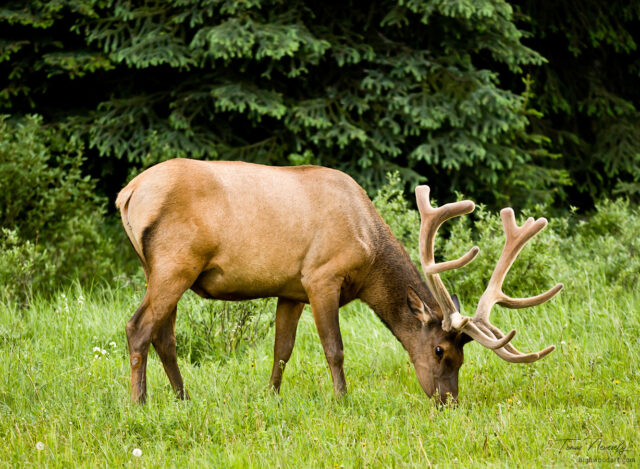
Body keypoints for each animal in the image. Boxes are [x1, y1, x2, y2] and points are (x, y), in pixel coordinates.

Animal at [116, 158, 563, 404]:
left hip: (161, 267)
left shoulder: (290, 289)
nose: (448, 401)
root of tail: (128, 192)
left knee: (164, 335)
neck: (368, 249)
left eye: (463, 358)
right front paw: (342, 399)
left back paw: (182, 397)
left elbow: (282, 349)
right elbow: (335, 349)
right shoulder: (321, 276)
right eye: (440, 351)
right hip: (175, 261)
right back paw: (139, 403)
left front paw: (272, 396)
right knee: (138, 327)